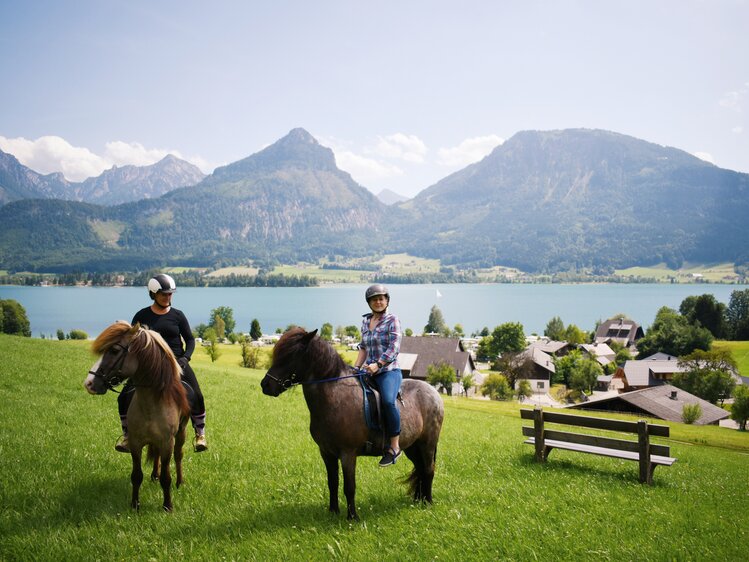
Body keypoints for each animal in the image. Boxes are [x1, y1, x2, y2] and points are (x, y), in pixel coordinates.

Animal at [83, 318, 190, 510]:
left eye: (114, 350)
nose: (89, 383)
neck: (151, 404)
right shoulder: (135, 442)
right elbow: (137, 475)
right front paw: (135, 505)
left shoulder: (167, 443)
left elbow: (166, 477)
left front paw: (167, 505)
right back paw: (154, 475)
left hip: (181, 433)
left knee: (178, 456)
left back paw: (180, 482)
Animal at [260, 326, 444, 520]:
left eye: (291, 354)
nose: (266, 385)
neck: (335, 396)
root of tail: (434, 392)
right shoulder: (326, 452)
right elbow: (332, 482)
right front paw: (333, 511)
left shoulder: (348, 453)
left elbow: (349, 486)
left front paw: (352, 517)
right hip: (412, 446)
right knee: (421, 469)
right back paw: (418, 500)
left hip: (427, 444)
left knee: (429, 469)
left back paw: (428, 502)